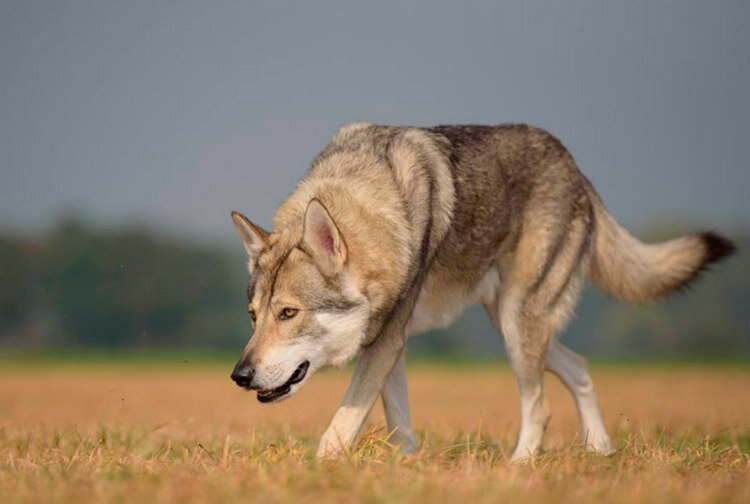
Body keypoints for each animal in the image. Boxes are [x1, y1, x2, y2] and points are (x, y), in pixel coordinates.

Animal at [229, 123, 736, 460]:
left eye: (288, 313)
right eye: (253, 316)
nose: (239, 375)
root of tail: (576, 169)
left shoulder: (386, 341)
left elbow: (341, 425)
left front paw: (321, 473)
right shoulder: (390, 344)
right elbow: (398, 422)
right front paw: (407, 469)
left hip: (518, 324)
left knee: (541, 404)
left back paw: (519, 469)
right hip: (515, 324)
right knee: (581, 369)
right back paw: (600, 452)